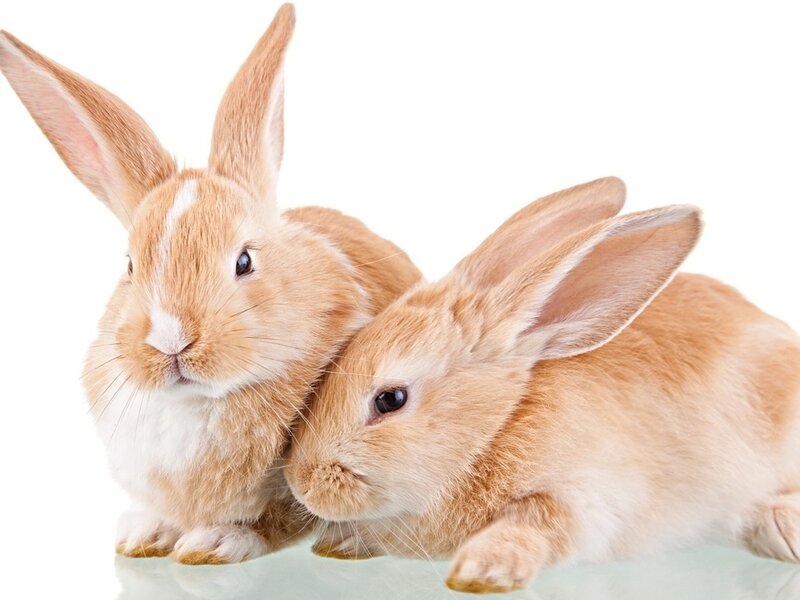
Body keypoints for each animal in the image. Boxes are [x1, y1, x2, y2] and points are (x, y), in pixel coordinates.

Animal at [0, 3, 423, 564]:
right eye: (130, 265)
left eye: (244, 261)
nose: (171, 341)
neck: (196, 402)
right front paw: (141, 536)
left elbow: (277, 517)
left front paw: (212, 543)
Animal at [285, 189, 800, 593]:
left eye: (390, 400)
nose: (301, 485)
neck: (496, 427)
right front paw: (340, 544)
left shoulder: (584, 499)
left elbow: (536, 524)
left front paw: (482, 571)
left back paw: (782, 528)